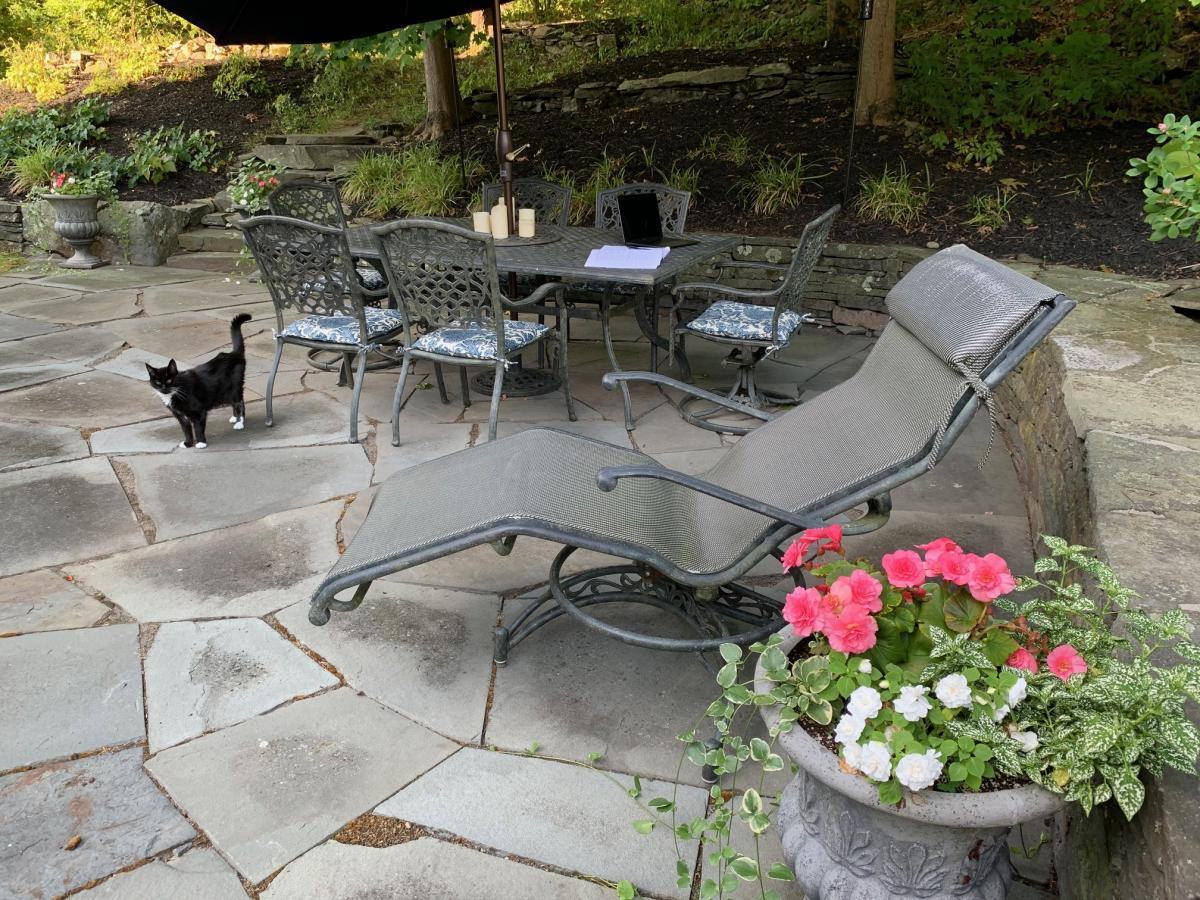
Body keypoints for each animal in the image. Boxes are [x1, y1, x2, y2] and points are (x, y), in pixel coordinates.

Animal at [148, 314, 255, 451]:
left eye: (169, 380)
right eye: (157, 382)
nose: (163, 388)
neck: (175, 393)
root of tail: (233, 354)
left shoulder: (199, 411)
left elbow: (198, 427)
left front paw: (201, 443)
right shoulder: (181, 416)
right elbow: (186, 429)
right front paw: (187, 443)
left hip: (233, 387)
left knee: (239, 402)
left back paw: (239, 422)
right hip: (224, 391)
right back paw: (235, 418)